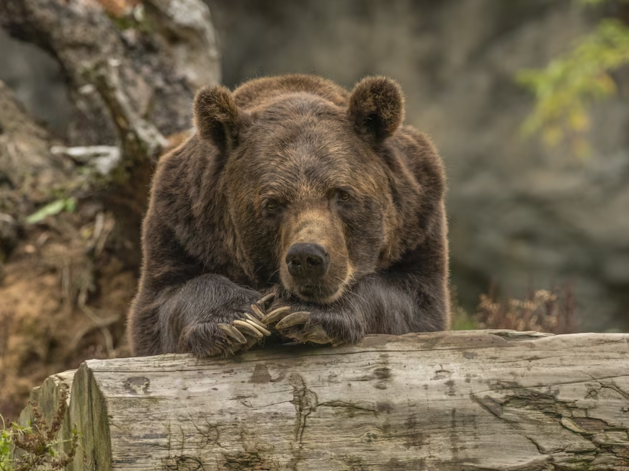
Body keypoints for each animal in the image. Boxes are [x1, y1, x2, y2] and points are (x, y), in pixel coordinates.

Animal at [129, 74, 446, 358]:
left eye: (342, 194)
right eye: (272, 203)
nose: (307, 258)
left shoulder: (418, 221)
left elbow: (413, 301)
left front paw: (303, 312)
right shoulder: (181, 227)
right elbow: (163, 303)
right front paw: (237, 320)